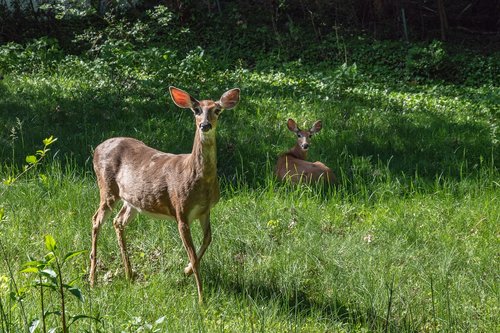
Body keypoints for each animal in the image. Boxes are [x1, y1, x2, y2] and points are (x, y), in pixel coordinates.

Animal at [90, 86, 240, 304]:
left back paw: (129, 274)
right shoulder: (181, 211)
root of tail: (96, 148)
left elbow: (208, 240)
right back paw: (92, 279)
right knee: (96, 220)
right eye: (196, 110)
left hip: (132, 200)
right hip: (107, 188)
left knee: (118, 221)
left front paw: (185, 271)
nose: (205, 125)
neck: (198, 179)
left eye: (217, 110)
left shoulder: (205, 211)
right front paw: (201, 299)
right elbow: (193, 255)